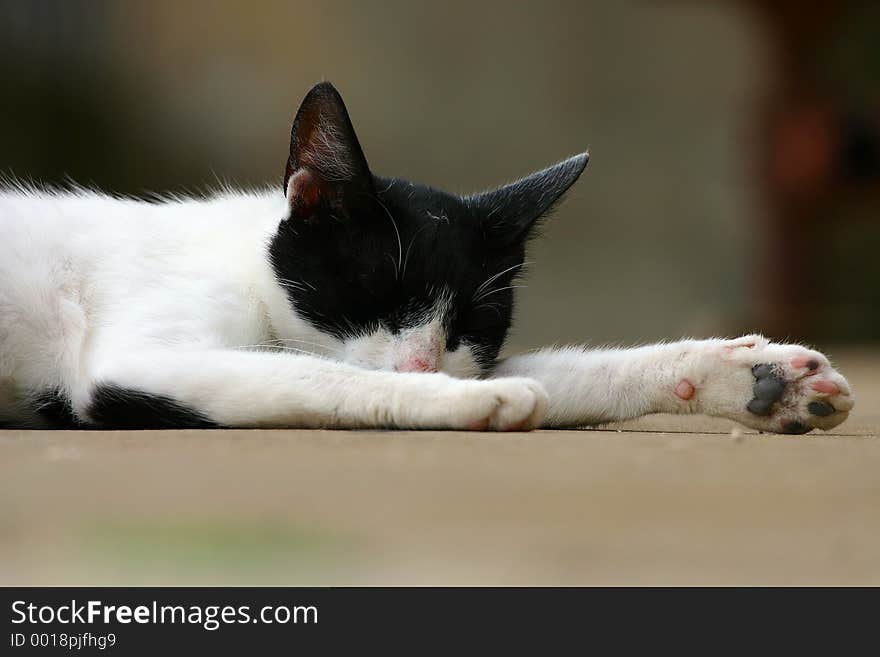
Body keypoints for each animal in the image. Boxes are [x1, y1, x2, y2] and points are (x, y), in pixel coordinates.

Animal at [0, 80, 852, 430]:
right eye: (376, 289)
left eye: (474, 321)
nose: (421, 363)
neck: (246, 267)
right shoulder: (143, 358)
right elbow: (326, 375)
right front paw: (469, 403)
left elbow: (577, 372)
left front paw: (750, 377)